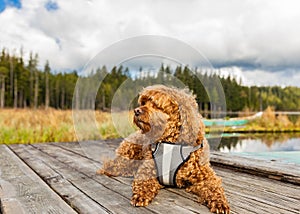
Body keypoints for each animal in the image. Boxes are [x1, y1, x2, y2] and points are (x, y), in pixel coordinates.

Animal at [96, 84, 230, 213]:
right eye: (144, 102)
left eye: (156, 105)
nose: (136, 111)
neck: (170, 144)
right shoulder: (148, 171)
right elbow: (143, 183)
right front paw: (140, 196)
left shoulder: (206, 177)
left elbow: (214, 187)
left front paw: (220, 203)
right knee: (114, 164)